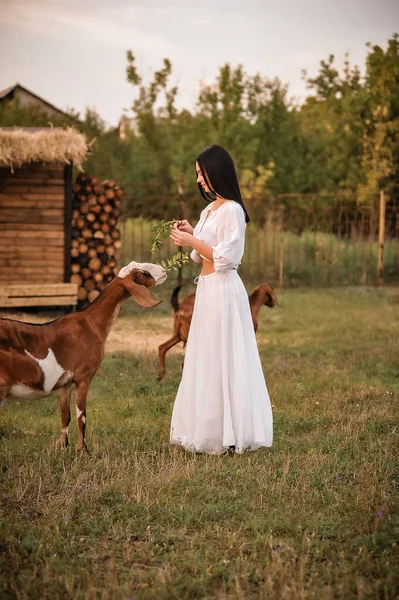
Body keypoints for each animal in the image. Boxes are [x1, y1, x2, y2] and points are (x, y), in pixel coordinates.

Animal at [0, 260, 167, 452]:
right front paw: (83, 451)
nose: (164, 270)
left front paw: (63, 447)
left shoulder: (65, 383)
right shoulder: (83, 377)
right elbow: (82, 417)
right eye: (143, 273)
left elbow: (65, 416)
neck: (91, 323)